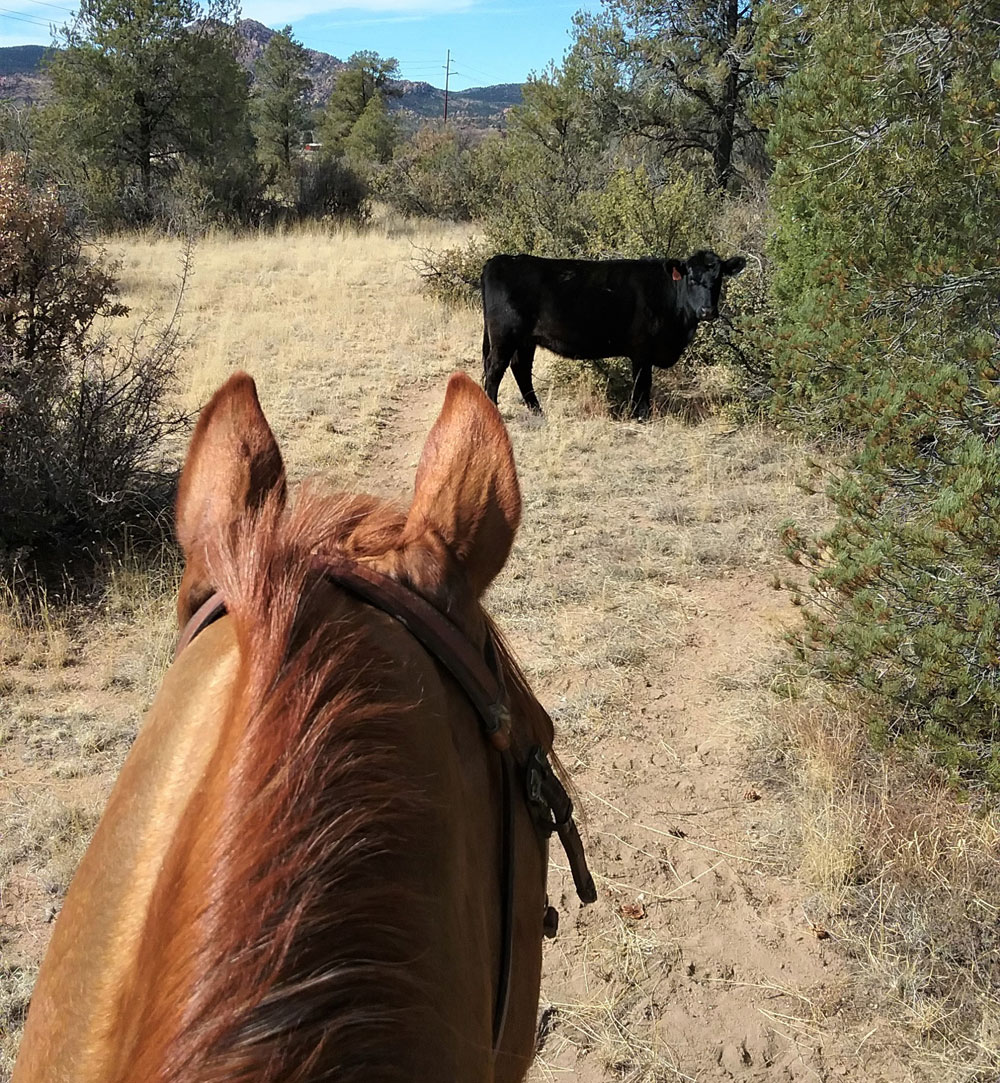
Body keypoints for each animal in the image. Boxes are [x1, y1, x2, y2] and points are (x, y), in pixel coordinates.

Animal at [481, 250, 745, 418]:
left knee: (521, 369)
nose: (707, 310)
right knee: (495, 370)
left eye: (718, 278)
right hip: (505, 336)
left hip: (526, 340)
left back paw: (537, 410)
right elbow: (642, 384)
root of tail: (499, 260)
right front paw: (641, 416)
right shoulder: (642, 351)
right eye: (691, 278)